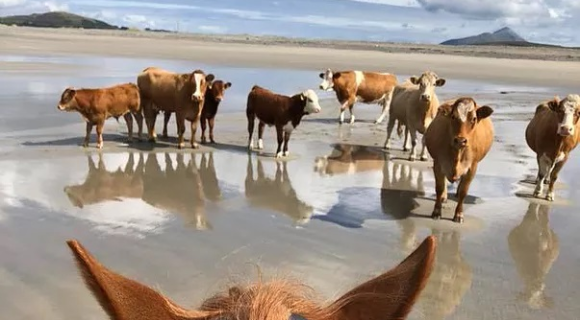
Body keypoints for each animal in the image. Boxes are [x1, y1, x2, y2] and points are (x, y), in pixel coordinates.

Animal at [422, 96, 494, 224]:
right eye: (453, 116)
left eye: (474, 119)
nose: (460, 140)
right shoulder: (438, 164)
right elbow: (439, 188)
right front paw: (436, 211)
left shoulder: (472, 167)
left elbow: (463, 192)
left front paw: (459, 214)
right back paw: (444, 197)